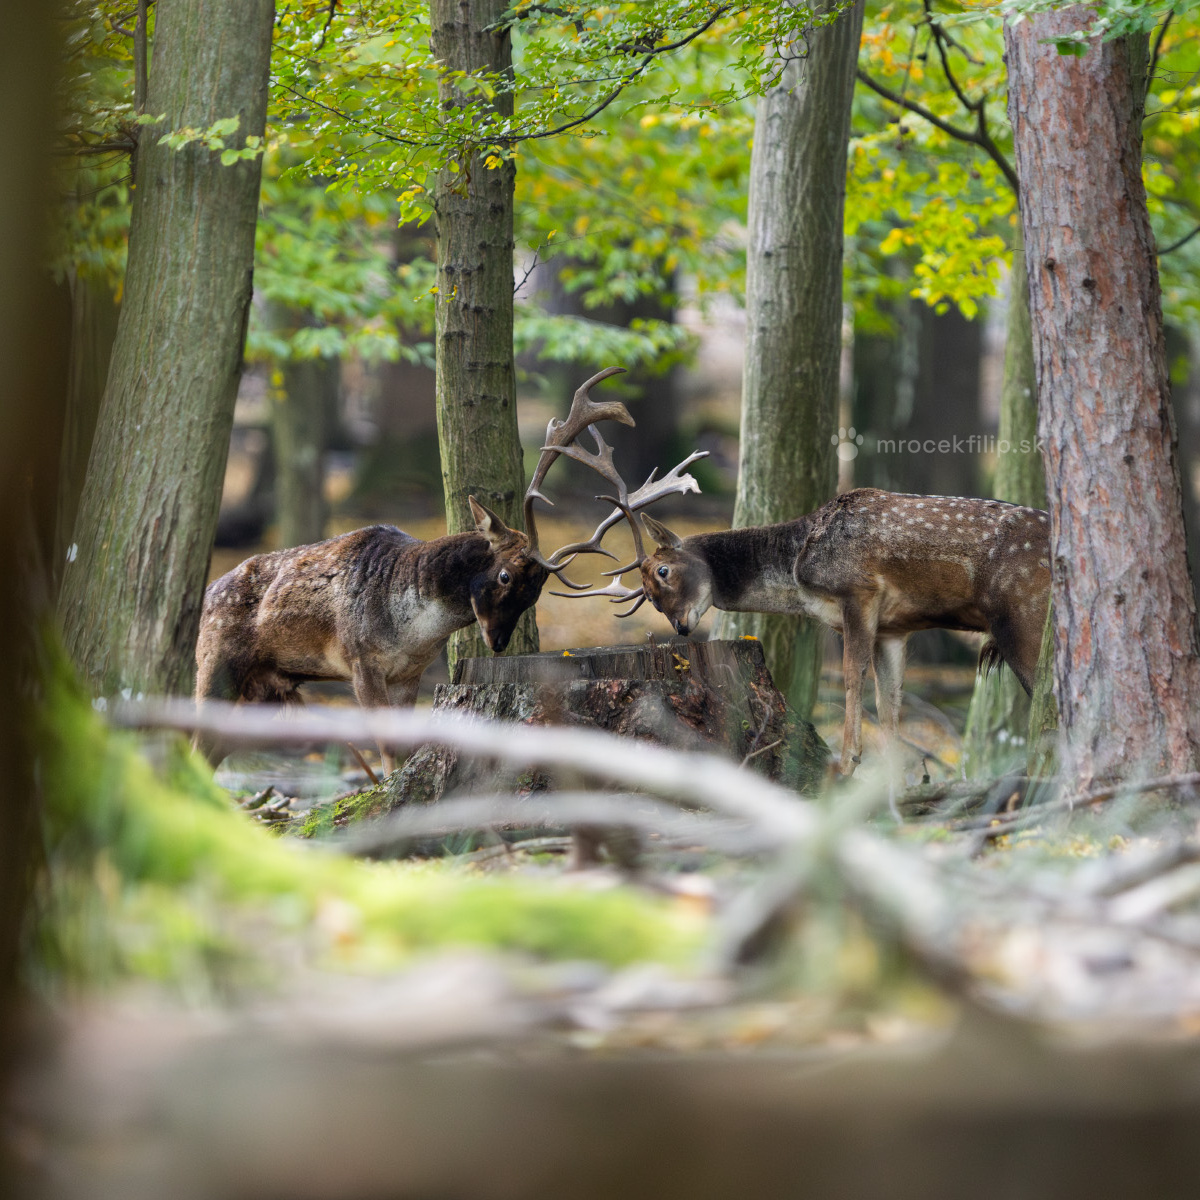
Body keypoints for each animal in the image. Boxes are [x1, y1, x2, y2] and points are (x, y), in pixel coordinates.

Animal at [194, 366, 707, 772]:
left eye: (535, 593)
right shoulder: (359, 660)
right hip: (214, 666)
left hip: (260, 689)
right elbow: (386, 746)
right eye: (504, 575)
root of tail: (206, 594)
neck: (412, 630)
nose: (497, 643)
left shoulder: (409, 675)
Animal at [562, 487, 1051, 777]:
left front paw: (848, 763)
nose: (681, 626)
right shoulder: (895, 627)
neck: (799, 569)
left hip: (1022, 615)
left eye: (663, 571)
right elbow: (888, 701)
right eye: (645, 593)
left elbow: (853, 677)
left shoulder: (860, 590)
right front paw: (902, 780)